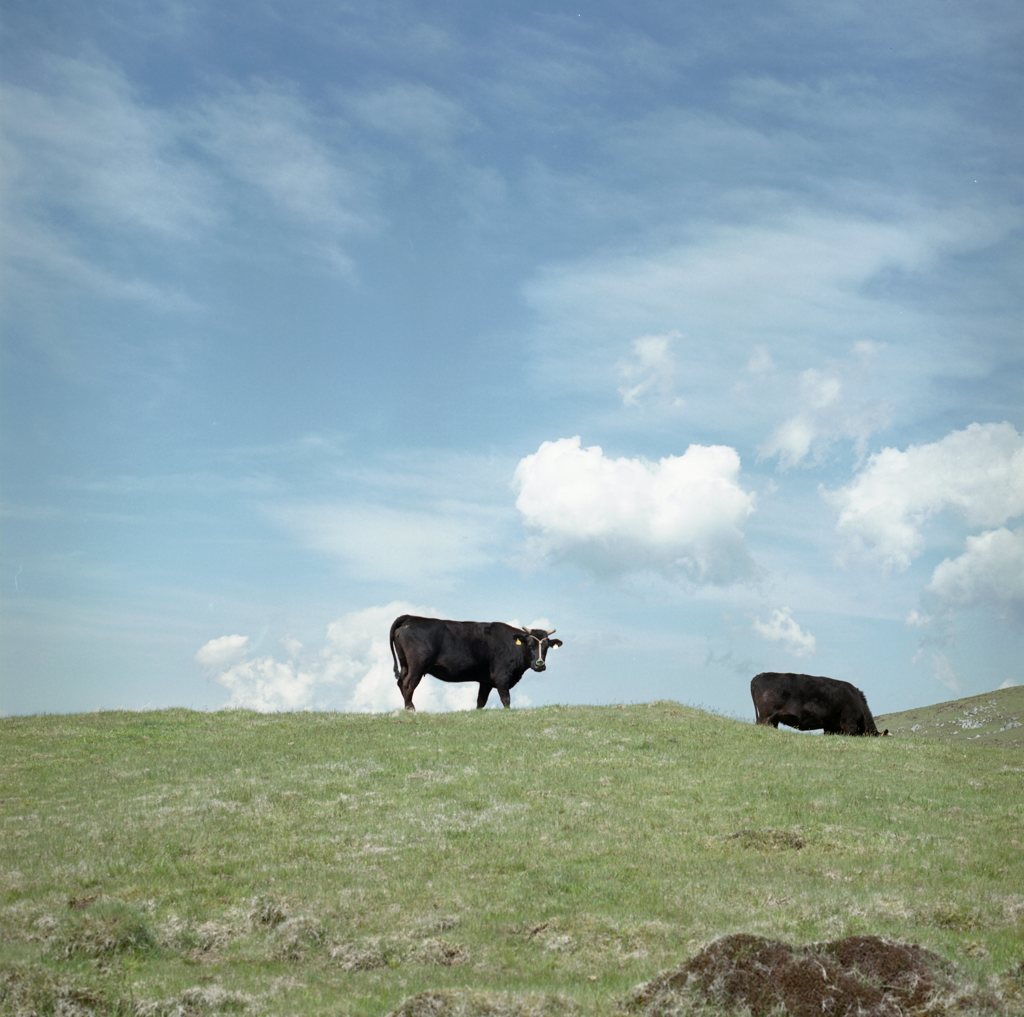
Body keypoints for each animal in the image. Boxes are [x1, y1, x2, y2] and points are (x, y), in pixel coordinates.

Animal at [389, 614, 565, 708]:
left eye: (547, 646)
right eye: (529, 644)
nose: (540, 664)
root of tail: (411, 617)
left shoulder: (485, 681)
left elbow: (481, 701)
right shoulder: (501, 677)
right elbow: (506, 700)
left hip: (405, 664)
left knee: (400, 682)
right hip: (417, 666)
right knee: (408, 684)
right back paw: (410, 708)